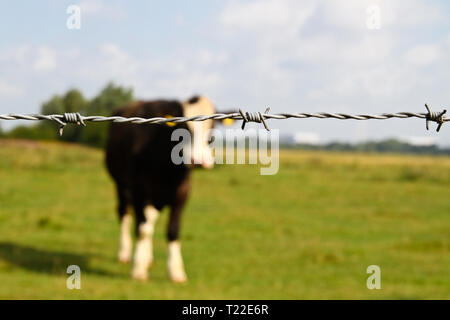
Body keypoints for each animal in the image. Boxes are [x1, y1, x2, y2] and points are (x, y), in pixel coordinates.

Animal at [106, 95, 218, 282]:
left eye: (212, 128)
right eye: (183, 126)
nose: (198, 160)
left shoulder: (182, 193)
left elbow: (172, 230)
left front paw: (176, 271)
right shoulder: (139, 190)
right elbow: (142, 229)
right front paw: (138, 269)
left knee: (149, 219)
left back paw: (147, 257)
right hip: (120, 184)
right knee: (125, 214)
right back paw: (125, 253)